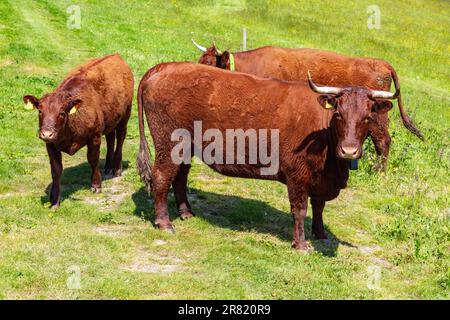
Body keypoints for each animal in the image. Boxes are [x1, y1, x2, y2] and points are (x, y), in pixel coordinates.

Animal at [23, 53, 134, 209]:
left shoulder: (94, 137)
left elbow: (92, 159)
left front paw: (96, 185)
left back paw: (117, 169)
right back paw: (108, 167)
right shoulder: (50, 145)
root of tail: (116, 56)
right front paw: (54, 200)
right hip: (110, 117)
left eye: (62, 113)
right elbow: (56, 170)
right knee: (110, 137)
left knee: (120, 138)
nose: (46, 133)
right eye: (40, 111)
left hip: (125, 114)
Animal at [136, 61, 398, 249]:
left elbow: (319, 206)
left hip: (186, 147)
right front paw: (301, 244)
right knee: (162, 176)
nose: (349, 151)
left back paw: (187, 213)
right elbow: (300, 209)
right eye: (339, 114)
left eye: (367, 117)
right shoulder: (297, 175)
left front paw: (321, 233)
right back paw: (164, 223)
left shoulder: (320, 179)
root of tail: (164, 67)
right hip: (168, 143)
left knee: (180, 176)